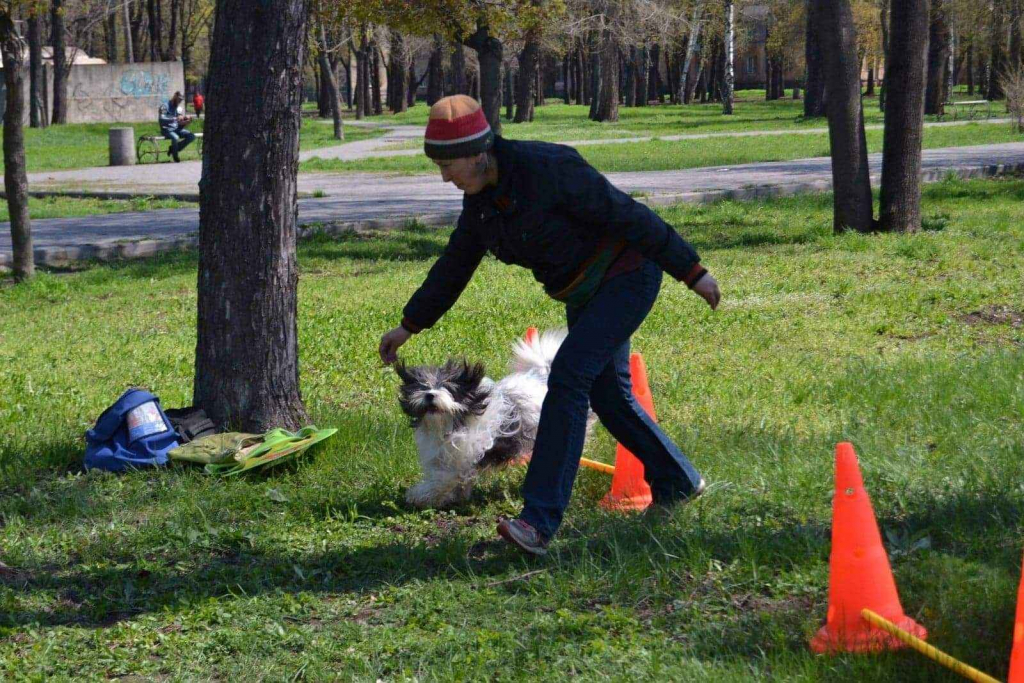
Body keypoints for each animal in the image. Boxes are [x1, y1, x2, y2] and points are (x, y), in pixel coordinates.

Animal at [391, 327, 569, 509]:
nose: (430, 395)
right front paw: (454, 497)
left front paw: (418, 495)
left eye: (448, 388)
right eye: (423, 387)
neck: (452, 425)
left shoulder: (464, 457)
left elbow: (443, 478)